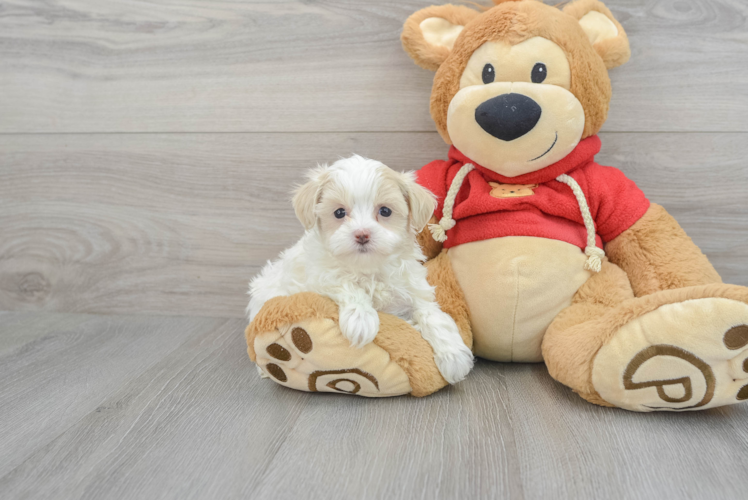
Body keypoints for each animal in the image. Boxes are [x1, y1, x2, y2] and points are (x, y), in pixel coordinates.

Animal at [248, 155, 476, 382]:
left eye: (385, 211)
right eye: (339, 212)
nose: (362, 234)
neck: (369, 268)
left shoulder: (415, 290)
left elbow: (433, 315)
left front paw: (454, 355)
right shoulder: (321, 276)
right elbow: (345, 284)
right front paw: (361, 320)